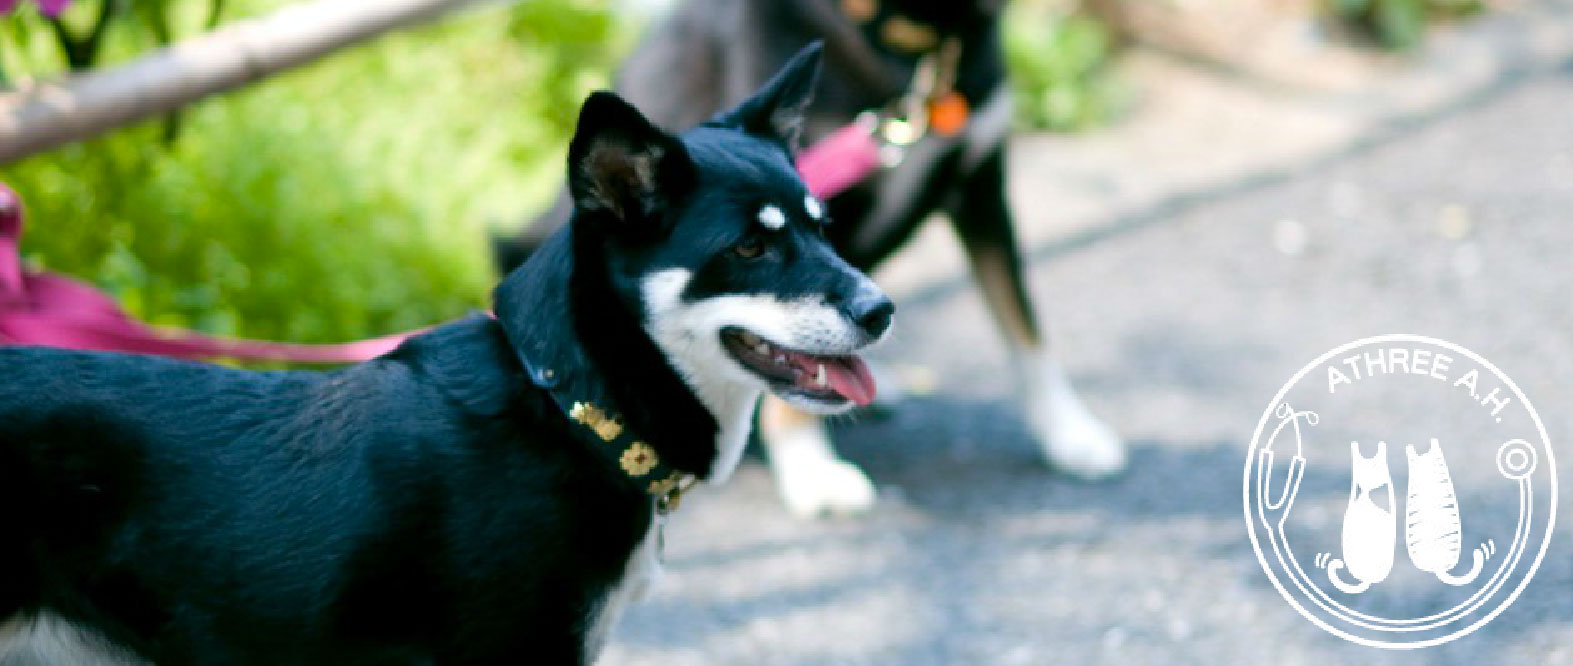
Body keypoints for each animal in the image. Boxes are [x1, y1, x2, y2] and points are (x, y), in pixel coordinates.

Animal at [497, 0, 1126, 522]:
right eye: (750, 247)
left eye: (822, 227)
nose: (881, 313)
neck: (912, 39)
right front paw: (812, 469)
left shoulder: (982, 185)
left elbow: (1023, 324)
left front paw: (1069, 431)